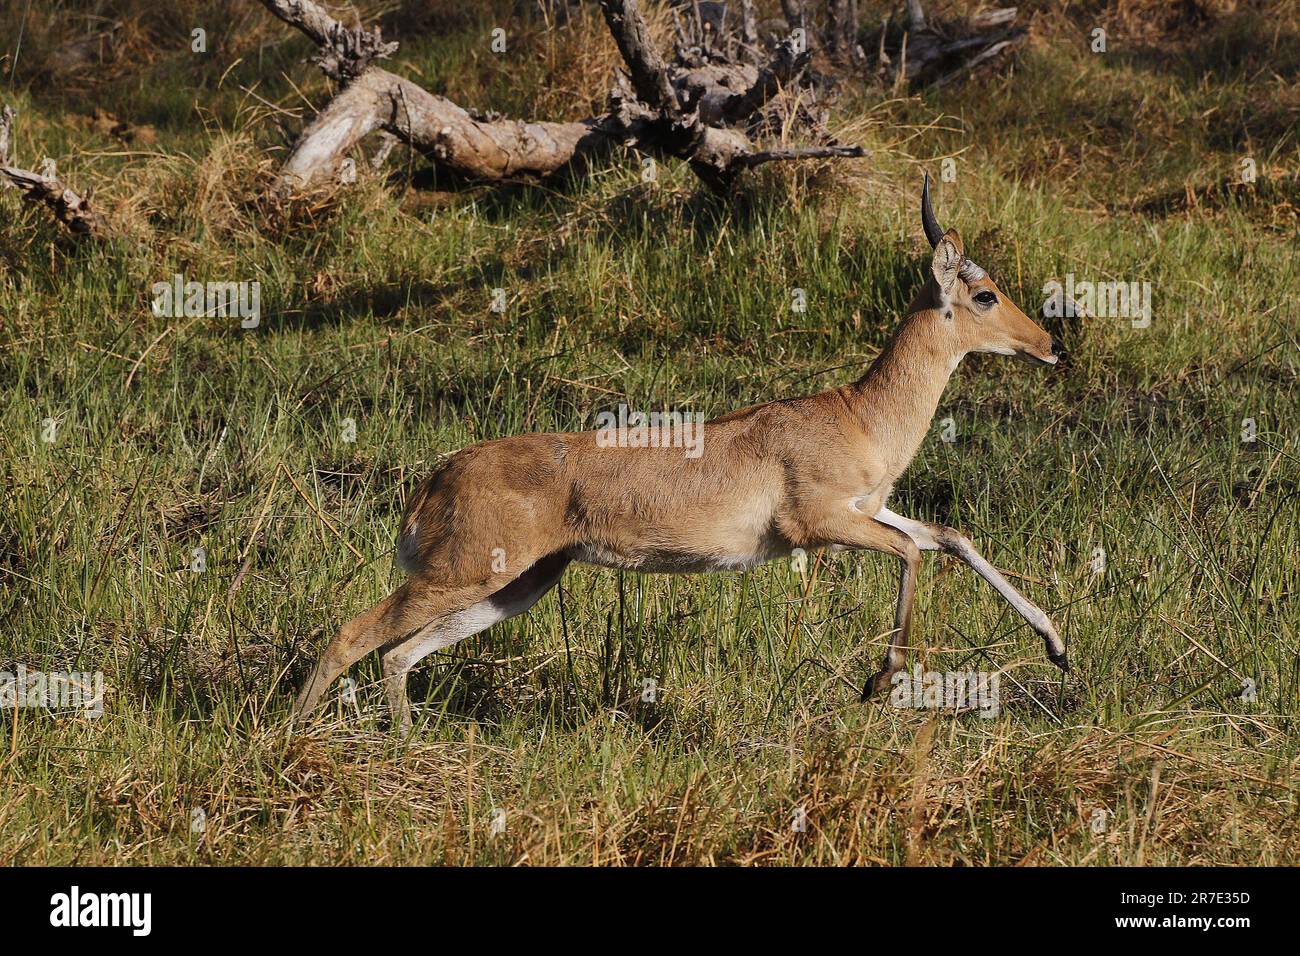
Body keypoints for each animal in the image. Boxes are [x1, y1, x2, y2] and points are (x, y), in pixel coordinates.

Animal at [295, 178, 1066, 733]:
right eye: (985, 293)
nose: (1051, 344)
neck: (858, 416)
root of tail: (439, 474)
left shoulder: (868, 509)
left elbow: (949, 537)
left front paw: (1059, 645)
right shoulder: (819, 525)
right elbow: (912, 552)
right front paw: (879, 681)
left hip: (516, 585)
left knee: (398, 651)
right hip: (463, 574)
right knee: (350, 634)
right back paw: (295, 737)